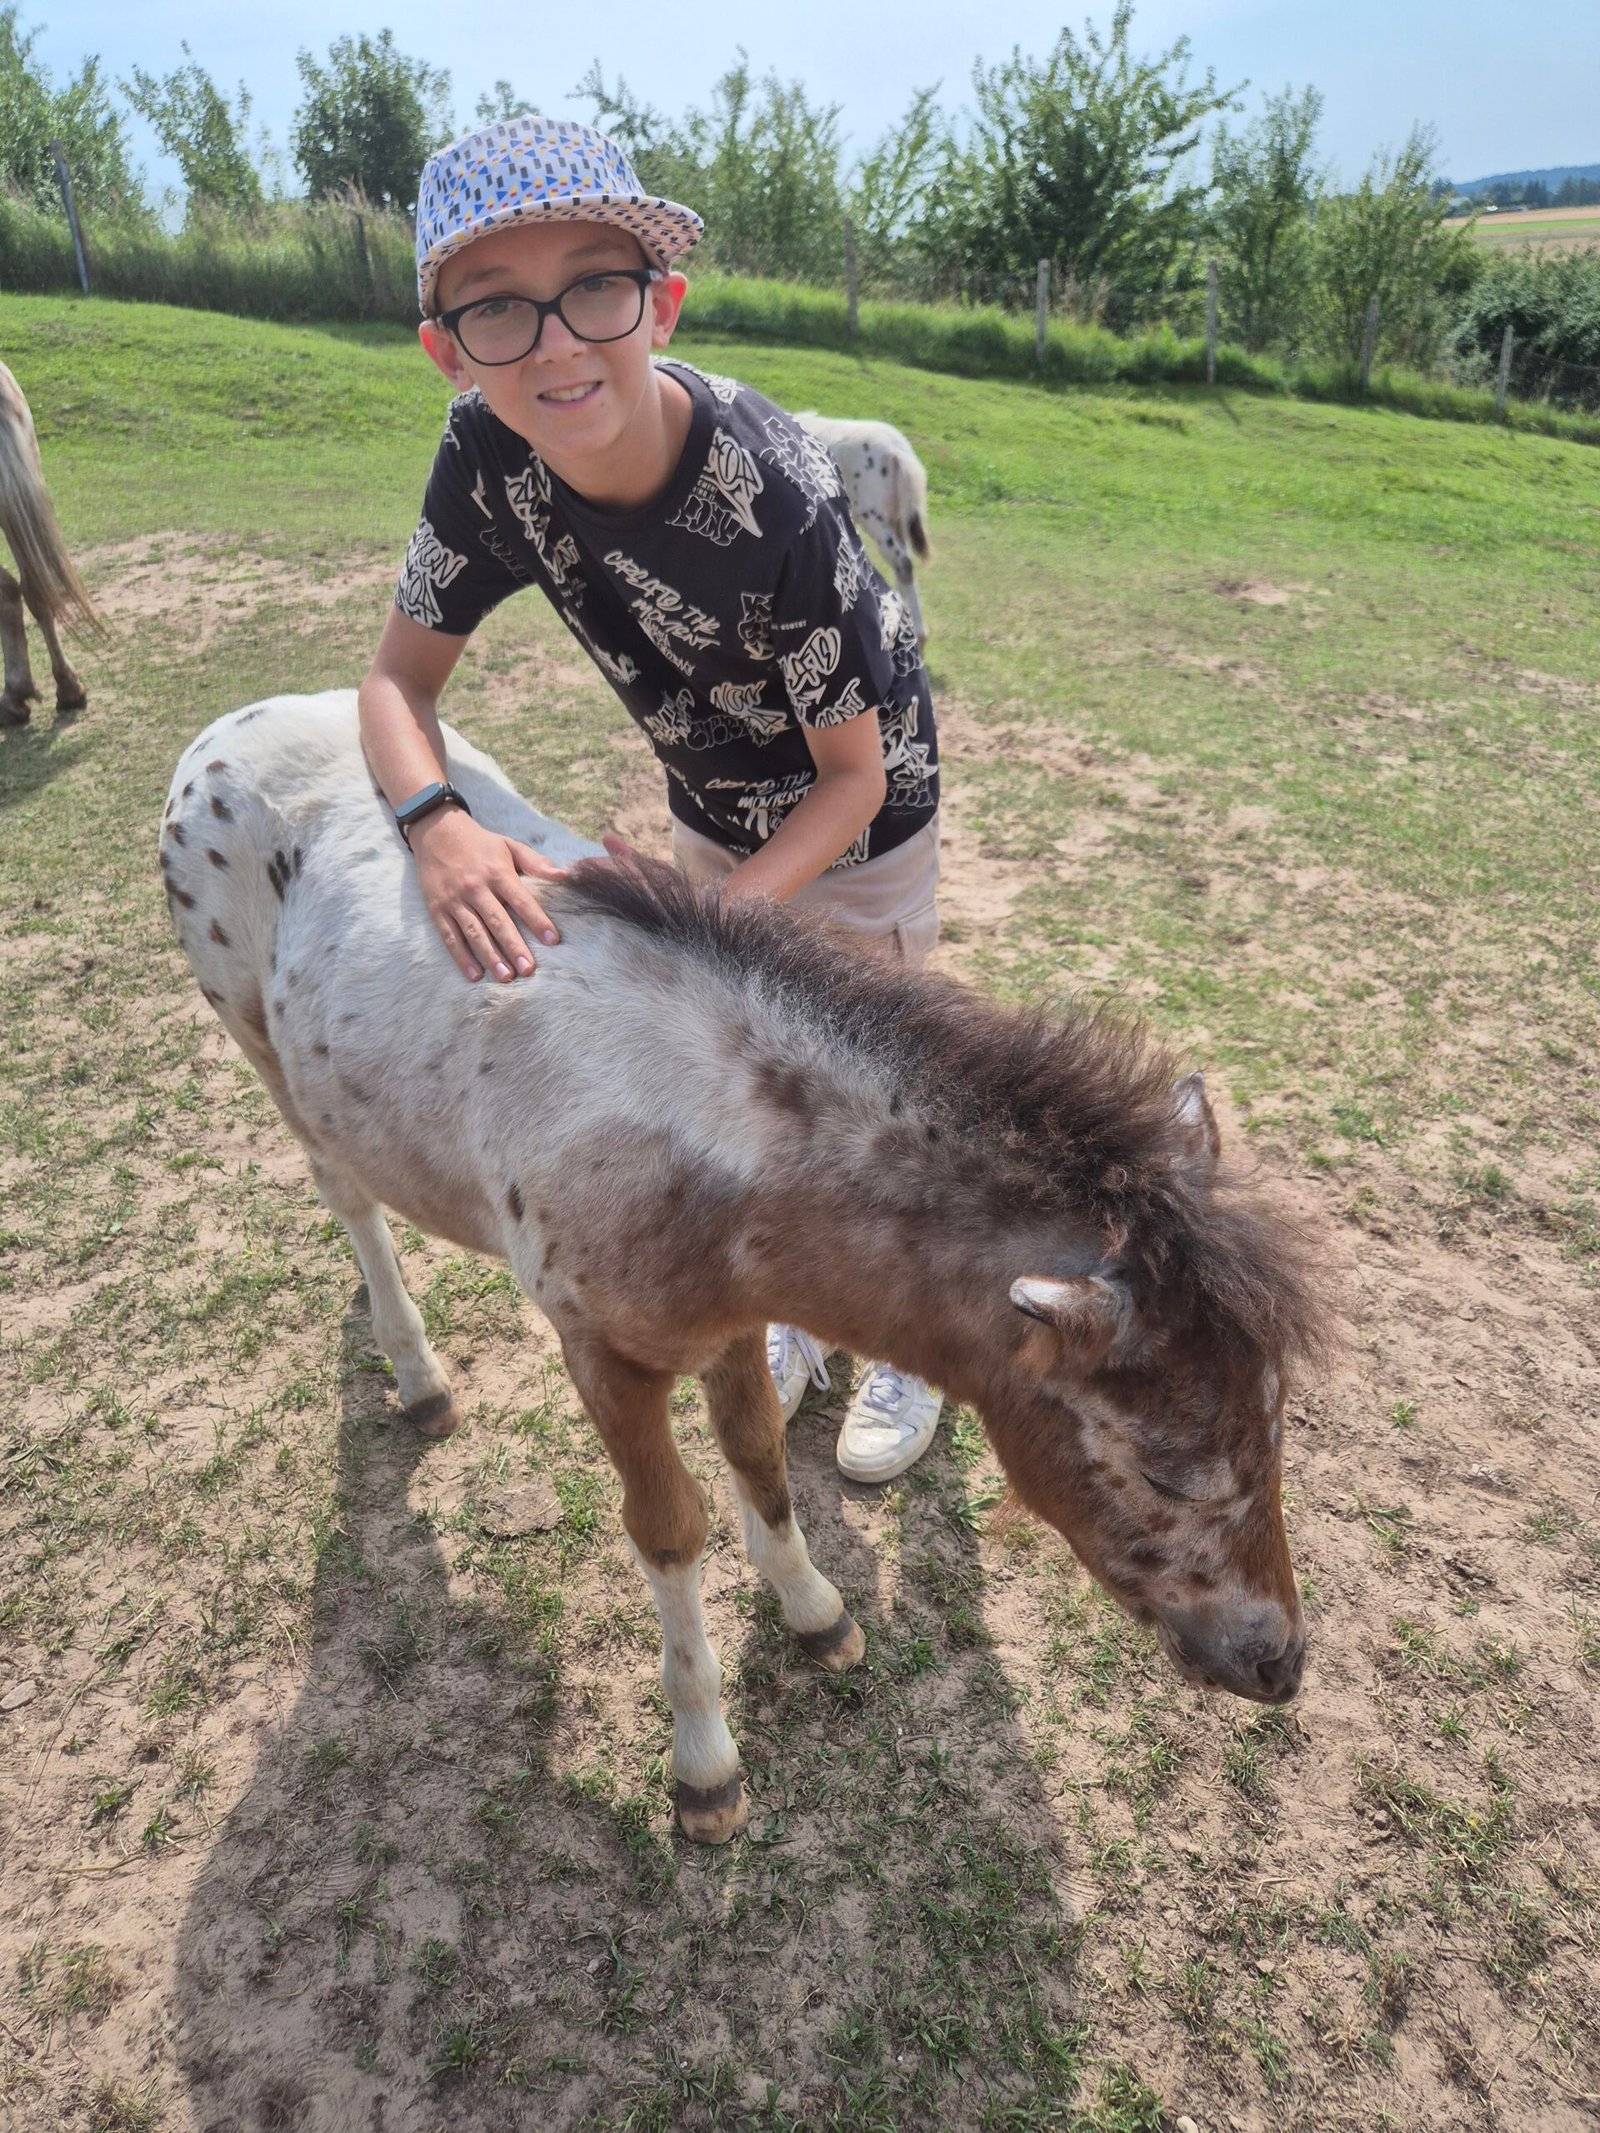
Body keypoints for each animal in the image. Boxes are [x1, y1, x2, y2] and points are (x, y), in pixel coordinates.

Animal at [162, 690, 1326, 1843]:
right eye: (1168, 1471)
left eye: (1274, 1434)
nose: (1280, 1661)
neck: (703, 1145)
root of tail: (228, 729)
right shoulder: (603, 1354)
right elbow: (670, 1530)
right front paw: (704, 1767)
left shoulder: (729, 1322)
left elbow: (762, 1457)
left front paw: (815, 1613)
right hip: (261, 1045)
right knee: (348, 1196)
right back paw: (418, 1376)